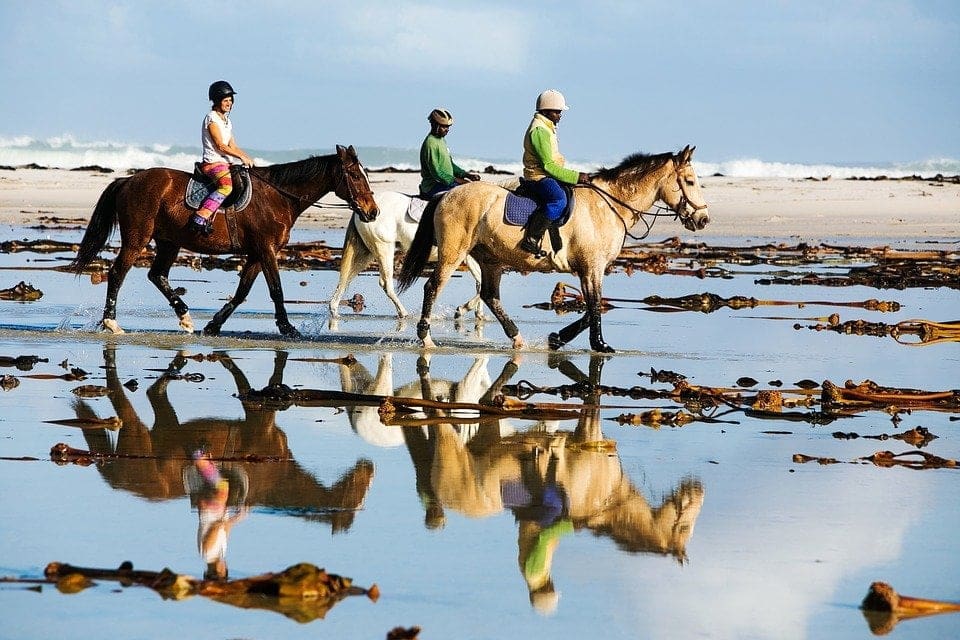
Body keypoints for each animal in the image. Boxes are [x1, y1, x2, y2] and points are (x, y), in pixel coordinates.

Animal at [70, 142, 378, 338]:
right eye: (354, 175)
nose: (372, 211)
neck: (278, 197)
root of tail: (128, 181)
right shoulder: (266, 250)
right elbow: (276, 289)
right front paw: (288, 328)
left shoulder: (256, 254)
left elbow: (242, 292)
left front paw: (214, 325)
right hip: (137, 239)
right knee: (117, 273)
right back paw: (111, 322)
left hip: (169, 242)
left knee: (157, 275)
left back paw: (185, 316)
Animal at [328, 190, 484, 320]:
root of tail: (363, 211)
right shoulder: (467, 256)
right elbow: (481, 284)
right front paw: (464, 309)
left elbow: (480, 283)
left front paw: (479, 314)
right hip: (383, 248)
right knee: (385, 283)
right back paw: (403, 313)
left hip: (365, 254)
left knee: (345, 279)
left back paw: (334, 310)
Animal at [396, 147, 704, 352]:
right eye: (689, 181)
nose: (703, 219)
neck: (607, 206)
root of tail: (446, 194)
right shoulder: (591, 268)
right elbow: (595, 307)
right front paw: (599, 344)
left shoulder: (590, 270)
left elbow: (592, 308)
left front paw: (557, 338)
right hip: (453, 253)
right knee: (433, 287)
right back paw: (426, 338)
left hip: (490, 259)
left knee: (490, 296)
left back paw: (517, 338)